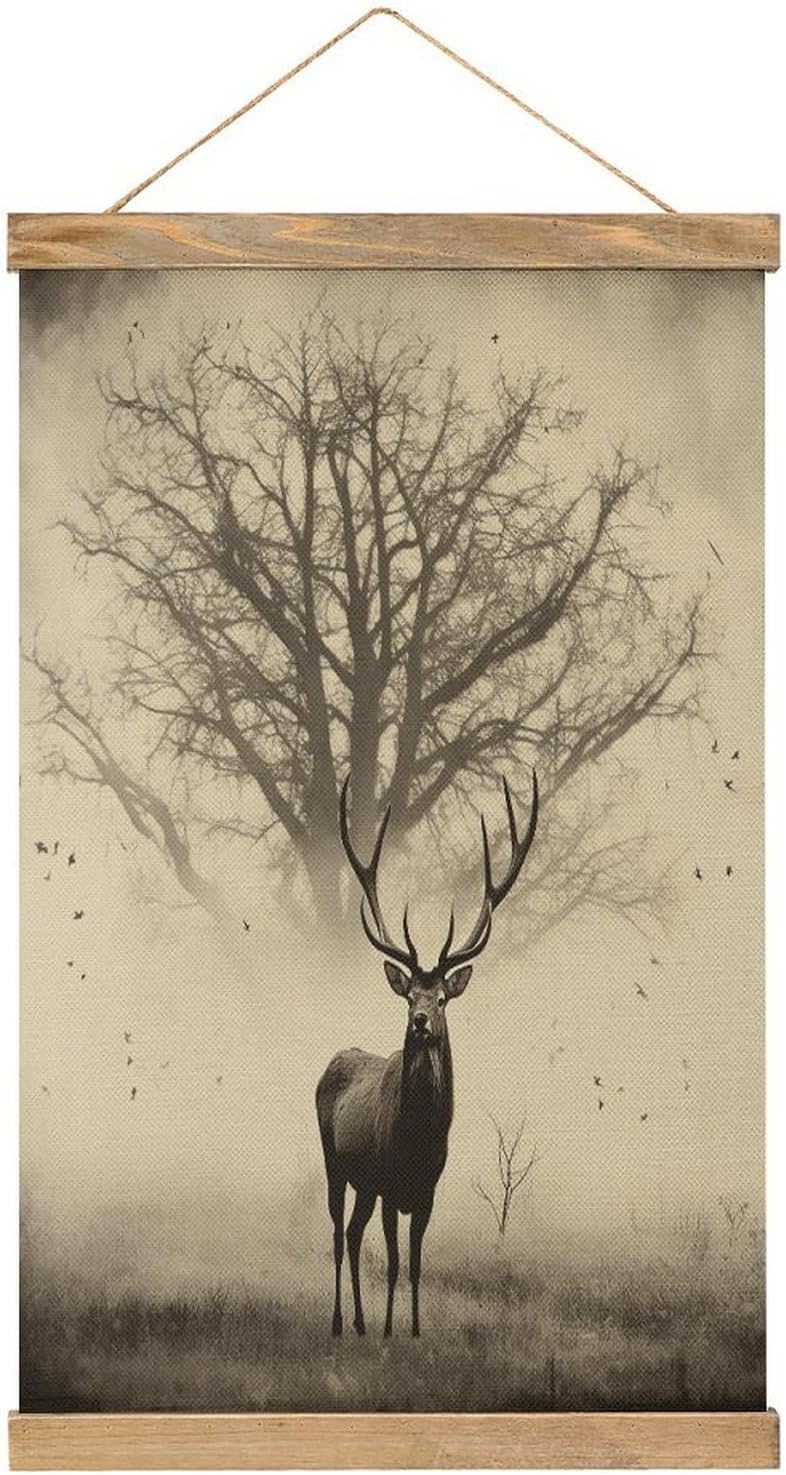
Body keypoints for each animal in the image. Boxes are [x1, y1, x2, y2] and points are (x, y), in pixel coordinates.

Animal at [315, 770, 538, 1338]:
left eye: (440, 999)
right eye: (409, 995)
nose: (420, 1023)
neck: (418, 1137)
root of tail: (333, 1061)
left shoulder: (427, 1190)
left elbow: (416, 1264)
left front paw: (413, 1329)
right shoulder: (391, 1183)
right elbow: (394, 1263)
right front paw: (392, 1331)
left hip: (365, 1183)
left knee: (353, 1234)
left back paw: (360, 1322)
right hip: (335, 1162)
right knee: (336, 1234)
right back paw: (339, 1322)